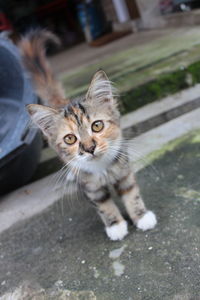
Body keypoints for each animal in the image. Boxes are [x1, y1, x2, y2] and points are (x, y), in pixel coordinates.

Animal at [19, 30, 157, 241]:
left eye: (97, 126)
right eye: (70, 139)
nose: (89, 148)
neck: (102, 168)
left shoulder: (124, 172)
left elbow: (131, 194)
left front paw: (141, 217)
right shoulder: (91, 189)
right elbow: (104, 207)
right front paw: (116, 226)